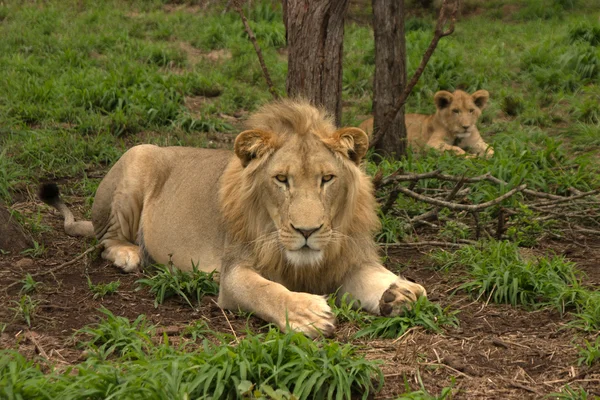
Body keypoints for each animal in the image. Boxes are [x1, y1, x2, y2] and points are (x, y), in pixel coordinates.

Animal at [41, 98, 426, 336]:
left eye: (327, 179)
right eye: (281, 179)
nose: (307, 230)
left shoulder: (345, 259)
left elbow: (385, 281)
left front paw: (400, 292)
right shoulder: (233, 273)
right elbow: (265, 291)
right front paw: (306, 313)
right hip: (138, 155)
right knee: (105, 238)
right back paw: (128, 253)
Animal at [360, 90, 492, 158]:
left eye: (471, 110)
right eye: (455, 111)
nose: (466, 127)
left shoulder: (476, 142)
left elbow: (491, 150)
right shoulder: (432, 144)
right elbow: (456, 149)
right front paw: (472, 157)